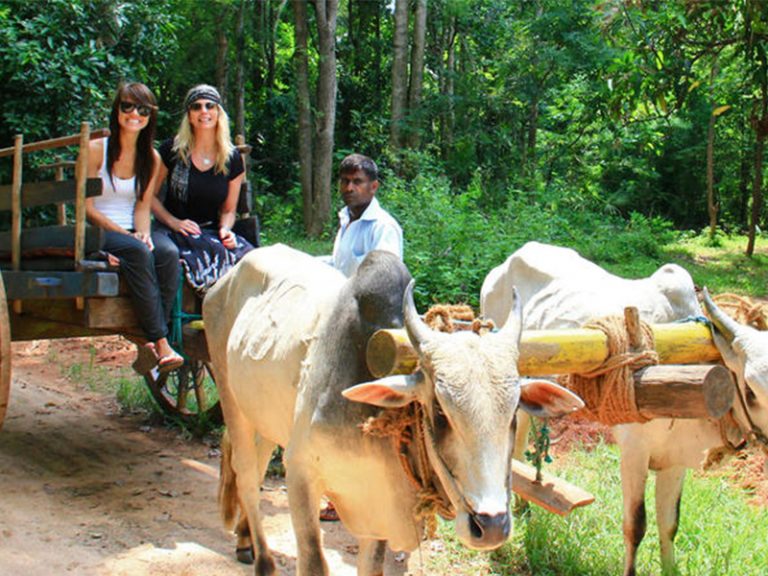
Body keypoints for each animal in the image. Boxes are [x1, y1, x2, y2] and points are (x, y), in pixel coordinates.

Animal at [204, 244, 584, 576]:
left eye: (513, 411)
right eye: (440, 411)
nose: (491, 525)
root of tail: (226, 279)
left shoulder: (378, 513)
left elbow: (372, 566)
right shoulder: (300, 474)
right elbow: (313, 562)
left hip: (266, 417)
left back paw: (244, 539)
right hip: (230, 397)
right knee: (247, 475)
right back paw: (261, 560)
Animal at [484, 241, 768, 576]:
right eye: (750, 389)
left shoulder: (675, 460)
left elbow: (670, 524)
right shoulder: (635, 452)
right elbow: (636, 526)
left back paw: (522, 504)